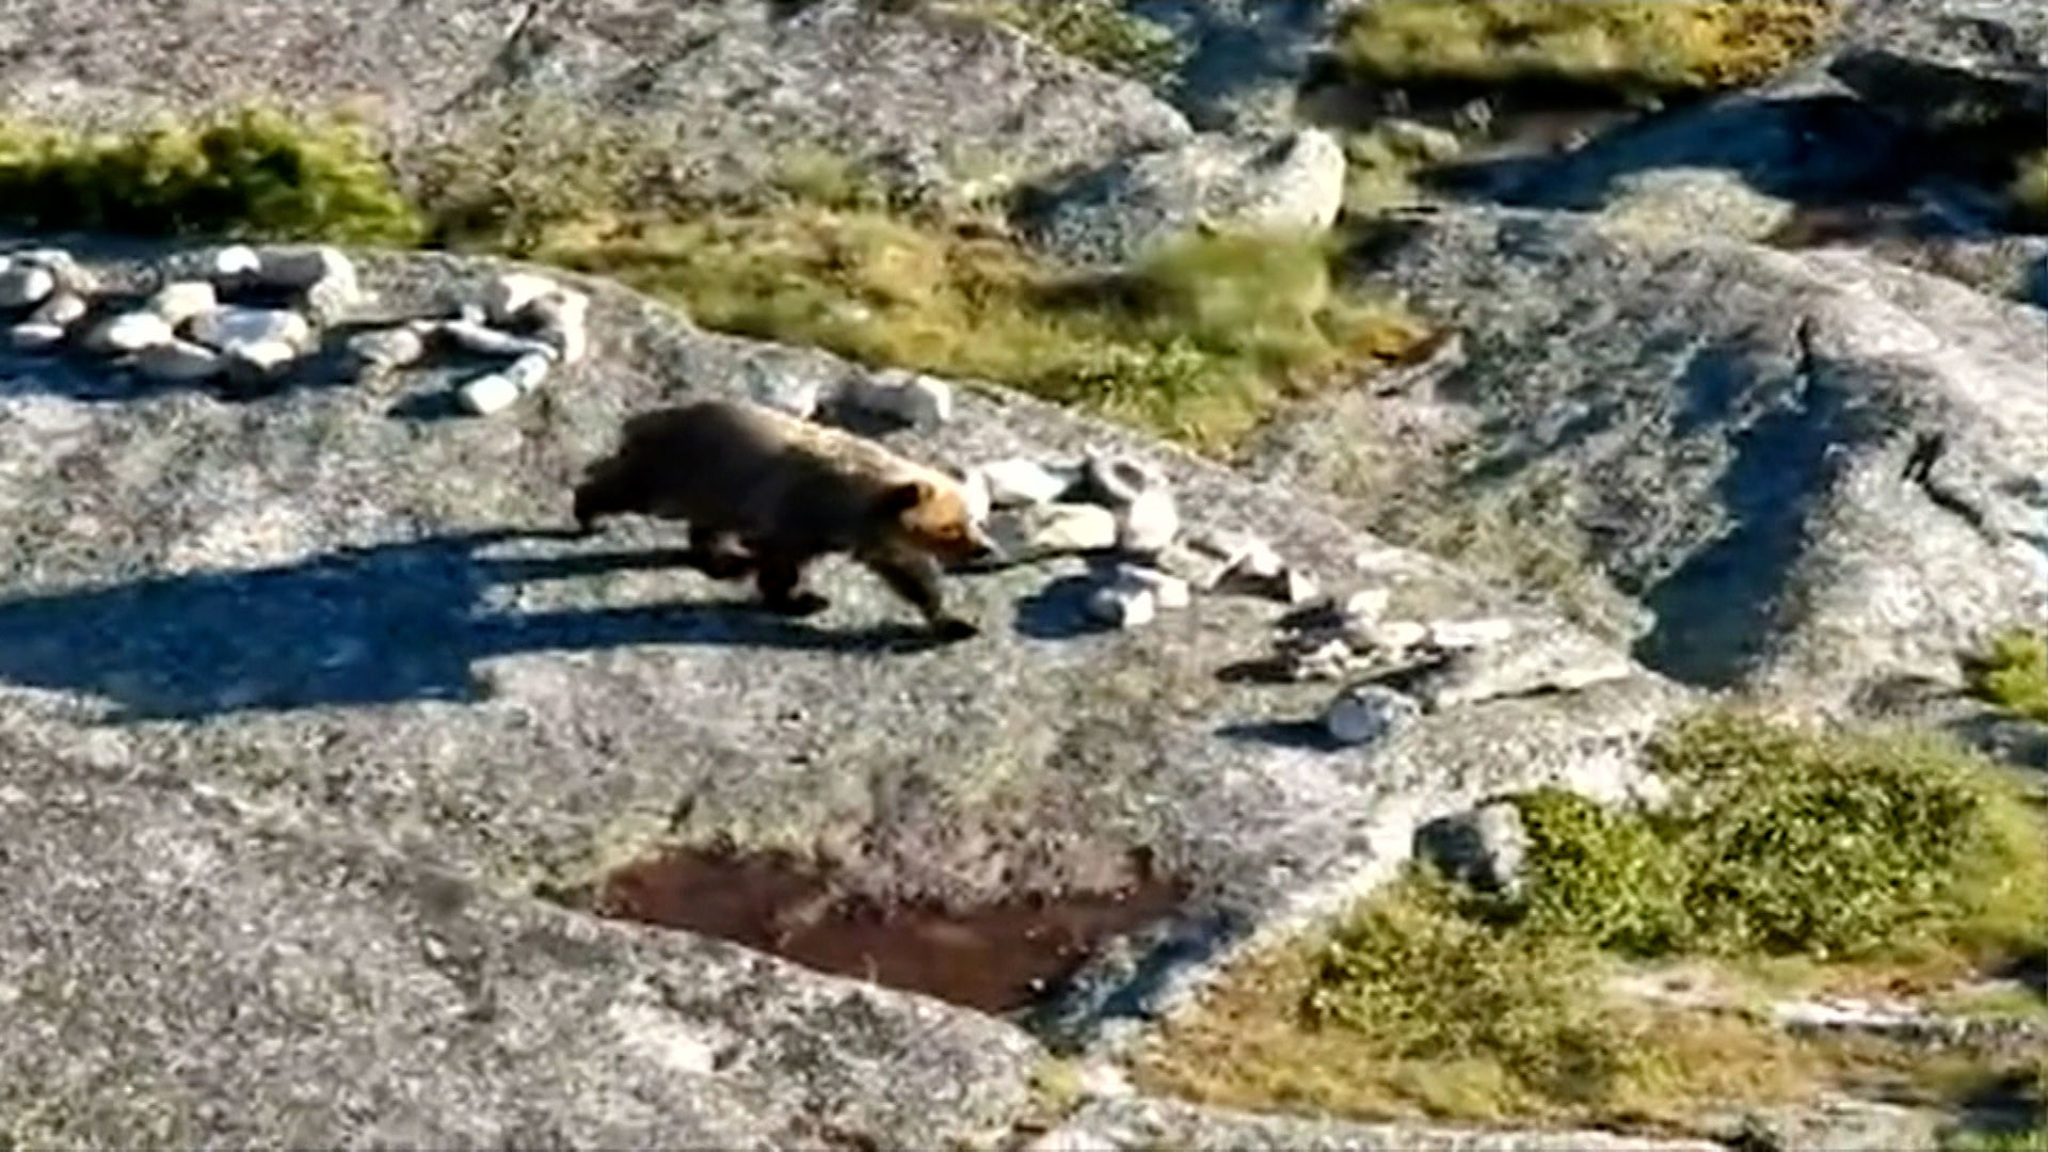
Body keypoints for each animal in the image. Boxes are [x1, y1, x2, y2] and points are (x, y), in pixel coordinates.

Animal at [572, 397, 996, 641]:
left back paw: (723, 558)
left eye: (974, 520)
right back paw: (588, 512)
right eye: (950, 527)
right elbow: (781, 562)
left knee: (706, 526)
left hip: (715, 489)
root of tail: (646, 418)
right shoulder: (801, 514)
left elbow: (911, 575)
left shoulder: (871, 537)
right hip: (683, 470)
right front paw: (802, 599)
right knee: (630, 488)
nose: (985, 549)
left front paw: (957, 621)